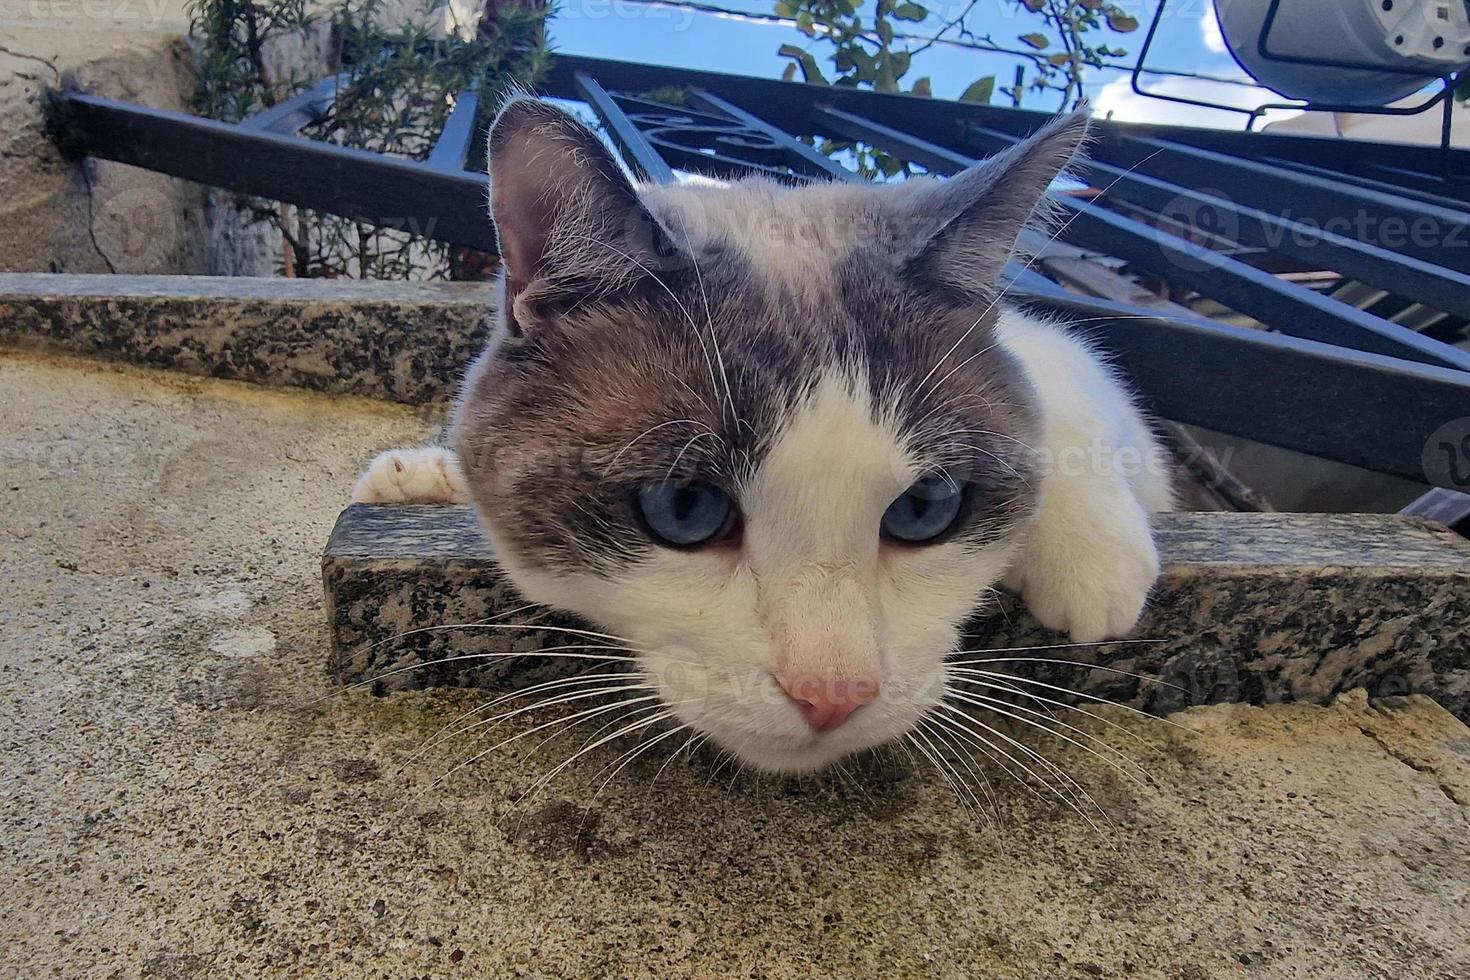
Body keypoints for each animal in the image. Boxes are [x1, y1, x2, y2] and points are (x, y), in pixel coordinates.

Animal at [352, 95, 1170, 775]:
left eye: (926, 510)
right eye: (684, 509)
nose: (834, 693)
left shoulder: (1049, 347)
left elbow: (1077, 383)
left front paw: (1093, 563)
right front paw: (418, 477)